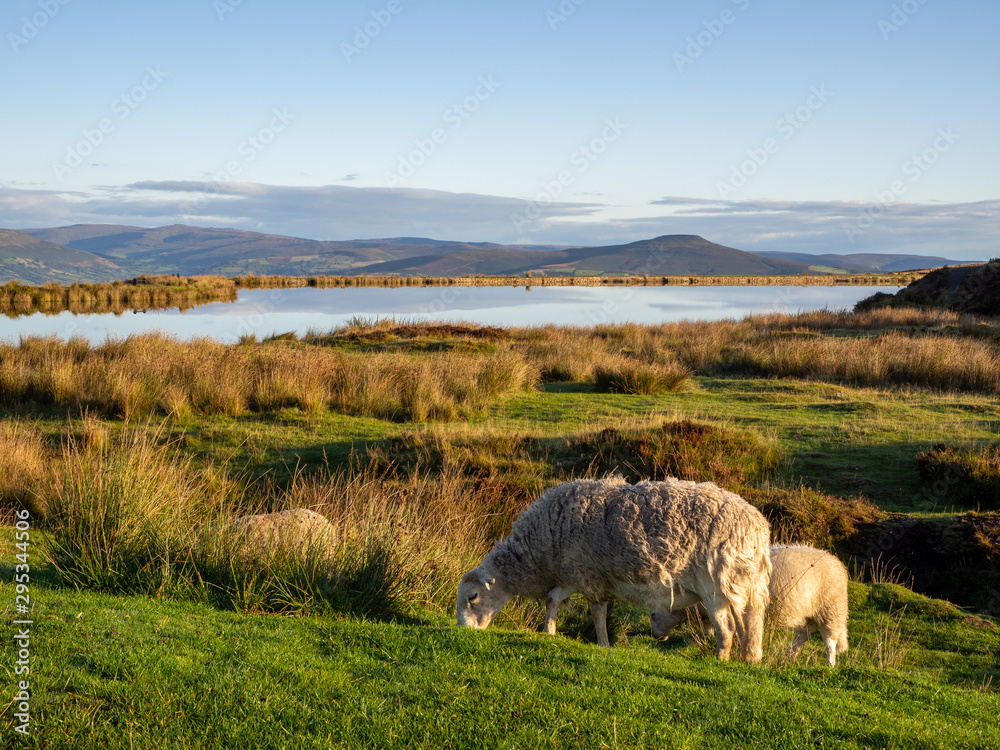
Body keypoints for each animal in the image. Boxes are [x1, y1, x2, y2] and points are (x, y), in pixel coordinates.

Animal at [456, 476, 771, 662]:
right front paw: (550, 631)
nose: (463, 631)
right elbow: (553, 600)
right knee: (748, 626)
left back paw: (720, 661)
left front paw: (601, 643)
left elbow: (595, 612)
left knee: (727, 629)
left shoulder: (587, 575)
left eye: (472, 598)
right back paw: (748, 659)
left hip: (715, 583)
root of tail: (757, 527)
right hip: (742, 584)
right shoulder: (573, 573)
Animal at [650, 544, 849, 666]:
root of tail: (836, 561)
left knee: (829, 641)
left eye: (653, 615)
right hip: (807, 612)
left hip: (831, 609)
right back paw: (791, 657)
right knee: (802, 636)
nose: (656, 637)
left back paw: (830, 665)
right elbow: (711, 629)